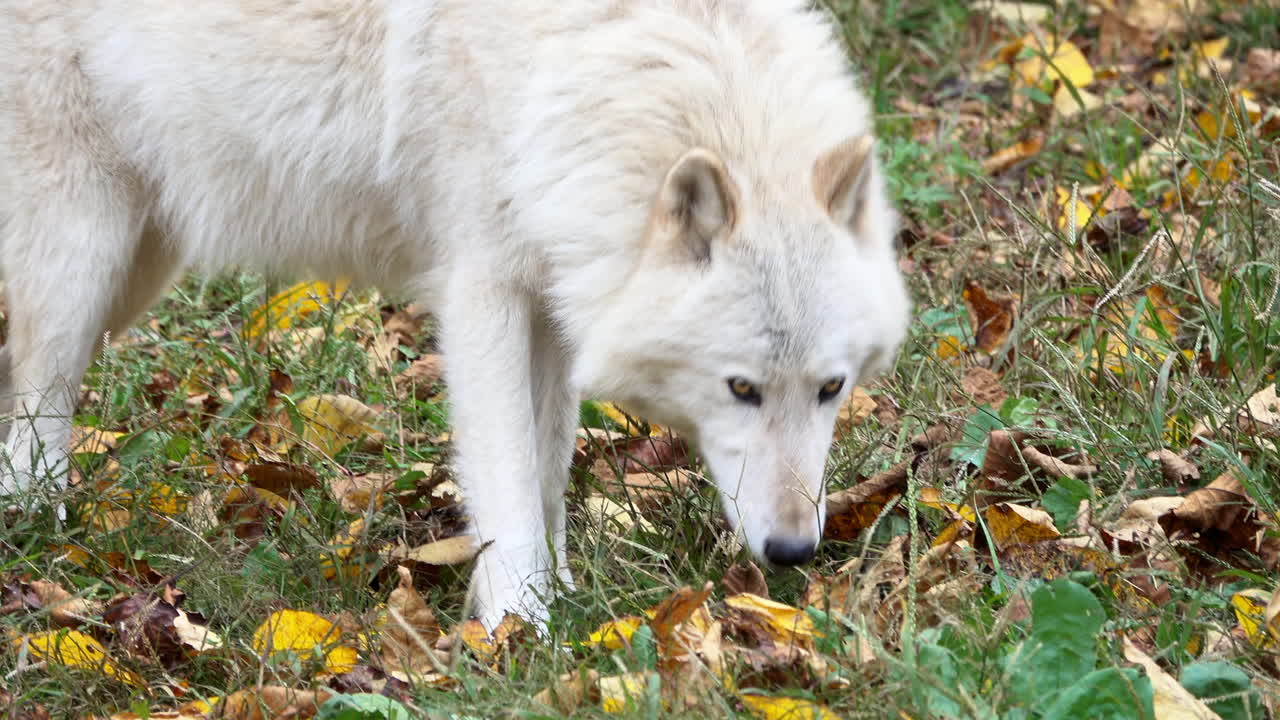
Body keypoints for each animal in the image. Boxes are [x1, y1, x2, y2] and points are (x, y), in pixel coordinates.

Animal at [0, 0, 910, 630]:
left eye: (831, 389)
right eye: (741, 389)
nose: (793, 551)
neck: (575, 59)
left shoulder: (555, 298)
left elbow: (548, 465)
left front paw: (557, 595)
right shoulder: (482, 291)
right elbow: (506, 472)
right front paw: (520, 625)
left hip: (135, 268)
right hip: (83, 262)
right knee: (35, 416)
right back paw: (40, 543)